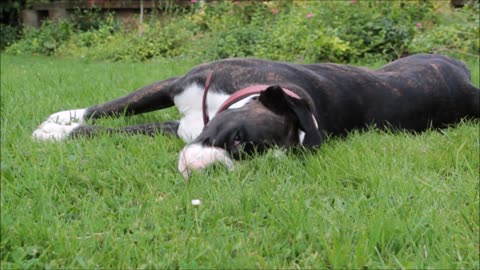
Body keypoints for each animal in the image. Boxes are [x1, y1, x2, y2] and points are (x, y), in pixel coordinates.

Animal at [31, 54, 478, 178]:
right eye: (238, 141)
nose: (214, 172)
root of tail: (462, 71)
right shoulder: (174, 86)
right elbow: (115, 106)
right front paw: (59, 121)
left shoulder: (180, 128)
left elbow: (120, 128)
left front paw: (56, 132)